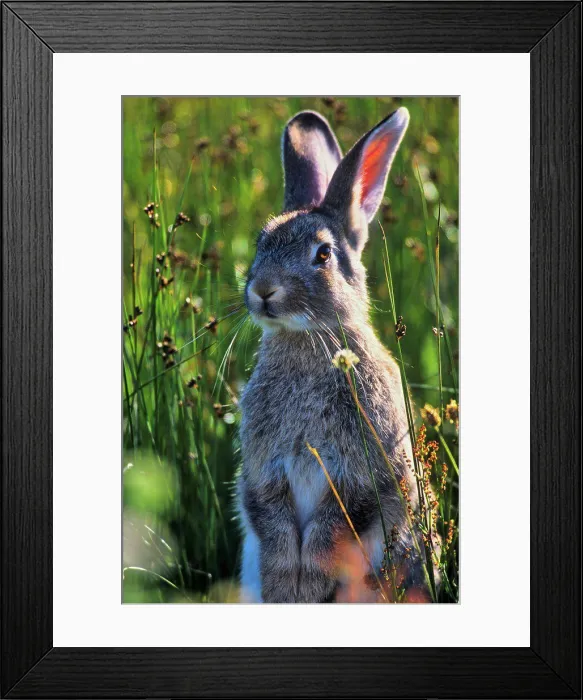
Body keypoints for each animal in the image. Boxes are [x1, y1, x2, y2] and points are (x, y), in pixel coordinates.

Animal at [237, 107, 434, 603]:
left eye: (323, 255)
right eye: (260, 242)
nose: (262, 290)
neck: (309, 341)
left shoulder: (364, 473)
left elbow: (337, 527)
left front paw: (309, 585)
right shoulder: (264, 473)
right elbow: (271, 521)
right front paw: (284, 585)